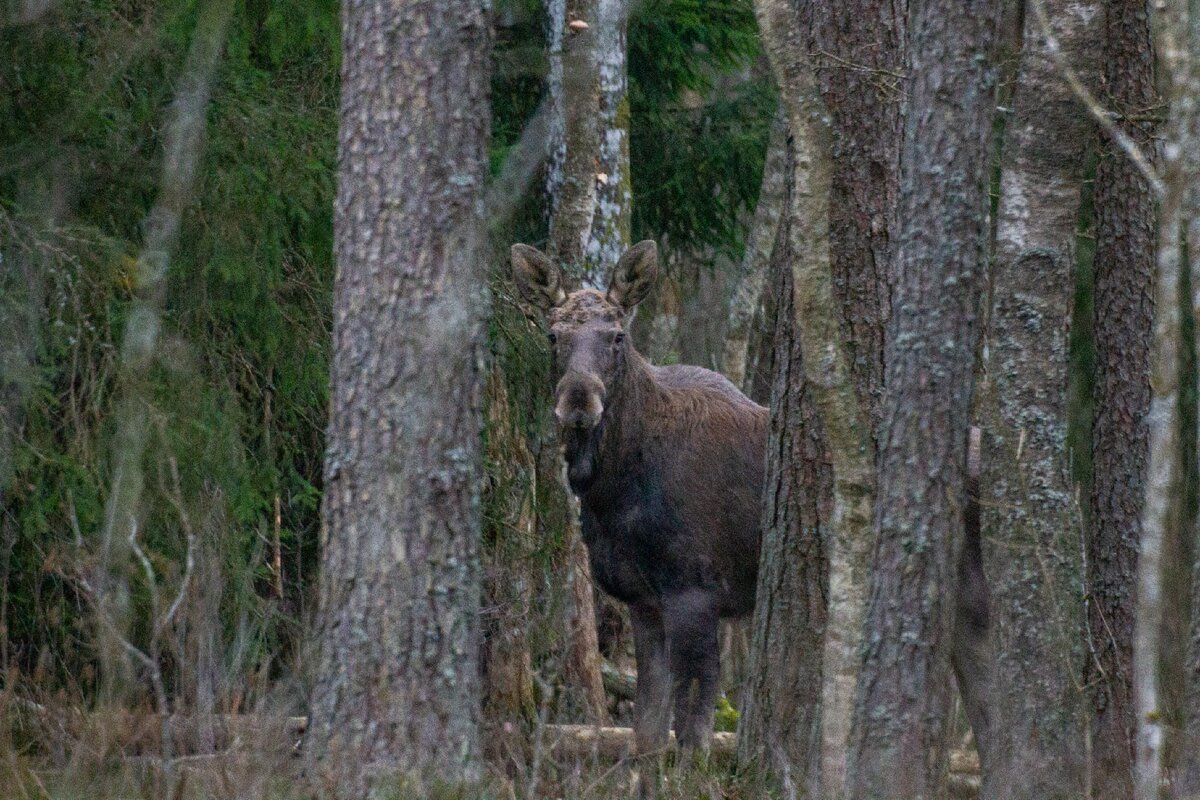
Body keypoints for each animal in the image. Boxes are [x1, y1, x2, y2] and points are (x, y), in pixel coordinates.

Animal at [511, 239, 763, 758]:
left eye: (617, 336)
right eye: (552, 334)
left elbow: (693, 736)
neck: (613, 497)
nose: (578, 400)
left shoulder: (695, 592)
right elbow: (646, 732)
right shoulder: (643, 600)